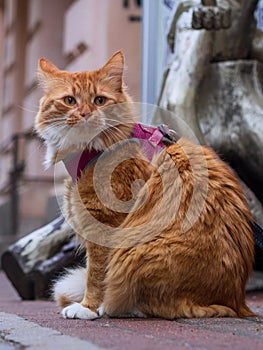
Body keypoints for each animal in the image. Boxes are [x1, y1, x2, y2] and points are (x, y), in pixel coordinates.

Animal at [35, 50, 256, 320]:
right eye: (69, 100)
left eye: (99, 100)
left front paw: (88, 307)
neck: (91, 150)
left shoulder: (106, 224)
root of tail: (237, 300)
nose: (86, 113)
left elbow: (96, 275)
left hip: (138, 251)